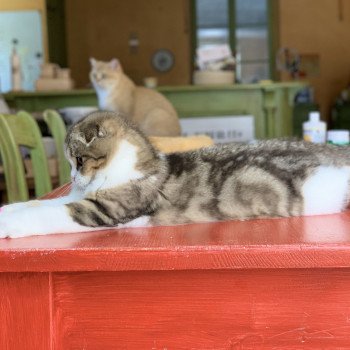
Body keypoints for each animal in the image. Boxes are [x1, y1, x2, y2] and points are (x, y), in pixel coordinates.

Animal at [0, 110, 350, 239]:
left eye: (78, 159)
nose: (73, 178)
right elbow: (37, 203)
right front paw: (7, 210)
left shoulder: (107, 209)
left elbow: (51, 214)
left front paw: (9, 225)